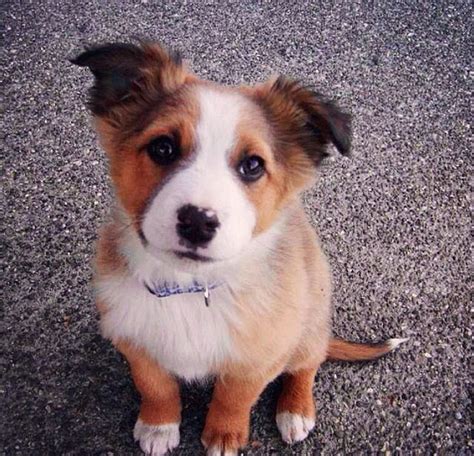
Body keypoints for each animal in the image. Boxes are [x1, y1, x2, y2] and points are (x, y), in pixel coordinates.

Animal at [72, 41, 406, 454]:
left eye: (253, 165)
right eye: (163, 148)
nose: (197, 222)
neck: (190, 288)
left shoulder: (260, 355)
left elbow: (235, 396)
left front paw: (225, 435)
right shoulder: (134, 339)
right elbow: (155, 385)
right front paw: (159, 425)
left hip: (308, 321)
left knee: (308, 363)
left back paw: (295, 409)